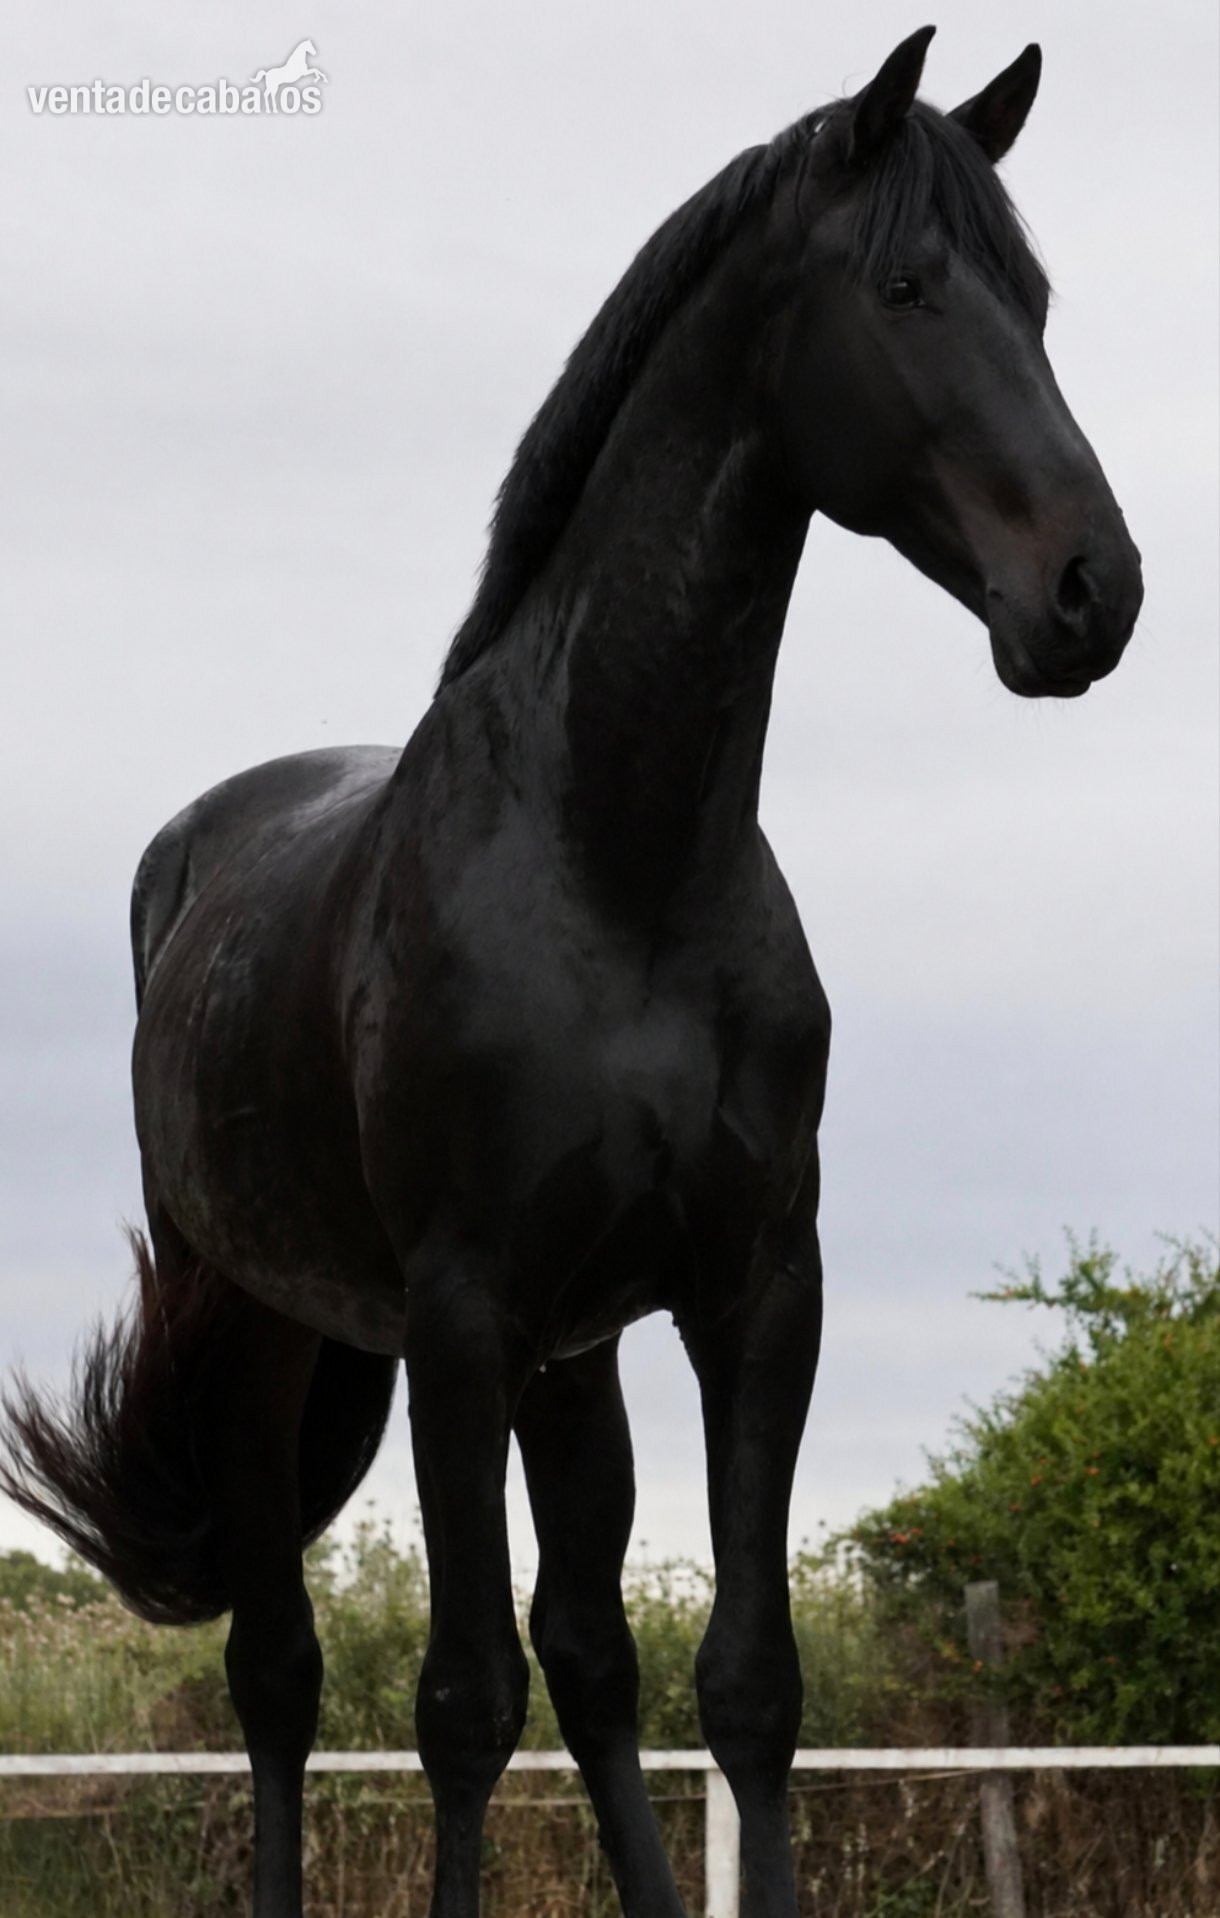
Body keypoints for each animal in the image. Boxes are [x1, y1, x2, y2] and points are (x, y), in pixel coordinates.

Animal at [1, 27, 1142, 1918]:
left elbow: (741, 1687)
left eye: (1038, 298)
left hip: (574, 1358)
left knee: (592, 1651)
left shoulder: (752, 1291)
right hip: (268, 1337)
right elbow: (462, 1704)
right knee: (282, 1679)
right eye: (907, 286)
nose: (1091, 591)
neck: (618, 861)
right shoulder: (462, 1322)